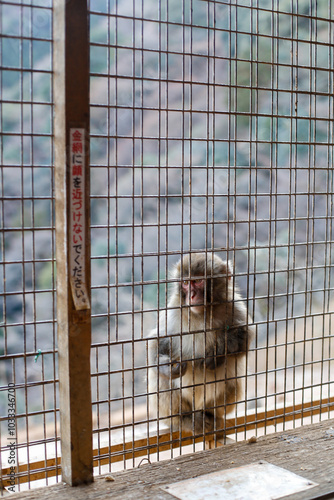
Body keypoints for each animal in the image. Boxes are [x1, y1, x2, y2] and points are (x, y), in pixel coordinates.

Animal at [147, 254, 252, 438]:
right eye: (186, 283)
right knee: (160, 378)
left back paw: (211, 416)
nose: (191, 296)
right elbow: (158, 340)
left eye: (198, 281)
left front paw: (216, 355)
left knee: (233, 380)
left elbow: (245, 339)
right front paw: (167, 367)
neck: (202, 313)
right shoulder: (173, 311)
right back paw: (185, 419)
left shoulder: (235, 306)